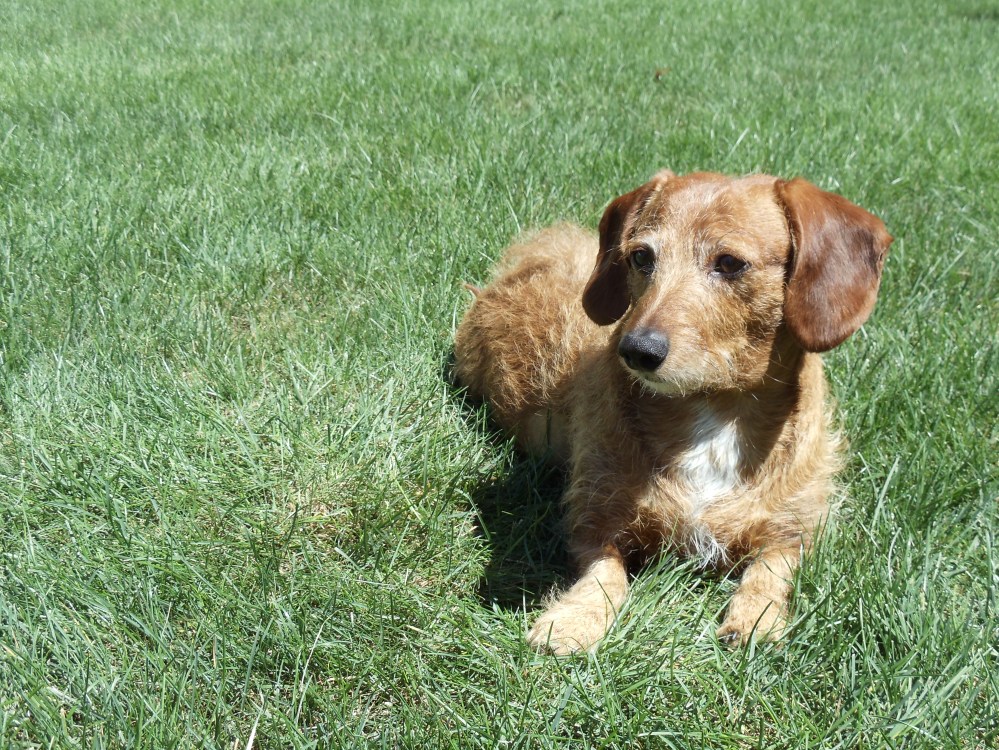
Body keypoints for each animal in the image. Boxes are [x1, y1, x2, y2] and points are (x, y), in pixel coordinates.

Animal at [453, 170, 892, 653]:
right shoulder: (593, 522)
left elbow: (771, 569)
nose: (636, 350)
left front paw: (756, 617)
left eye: (730, 263)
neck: (713, 412)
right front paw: (574, 619)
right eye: (642, 256)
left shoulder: (793, 533)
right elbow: (605, 574)